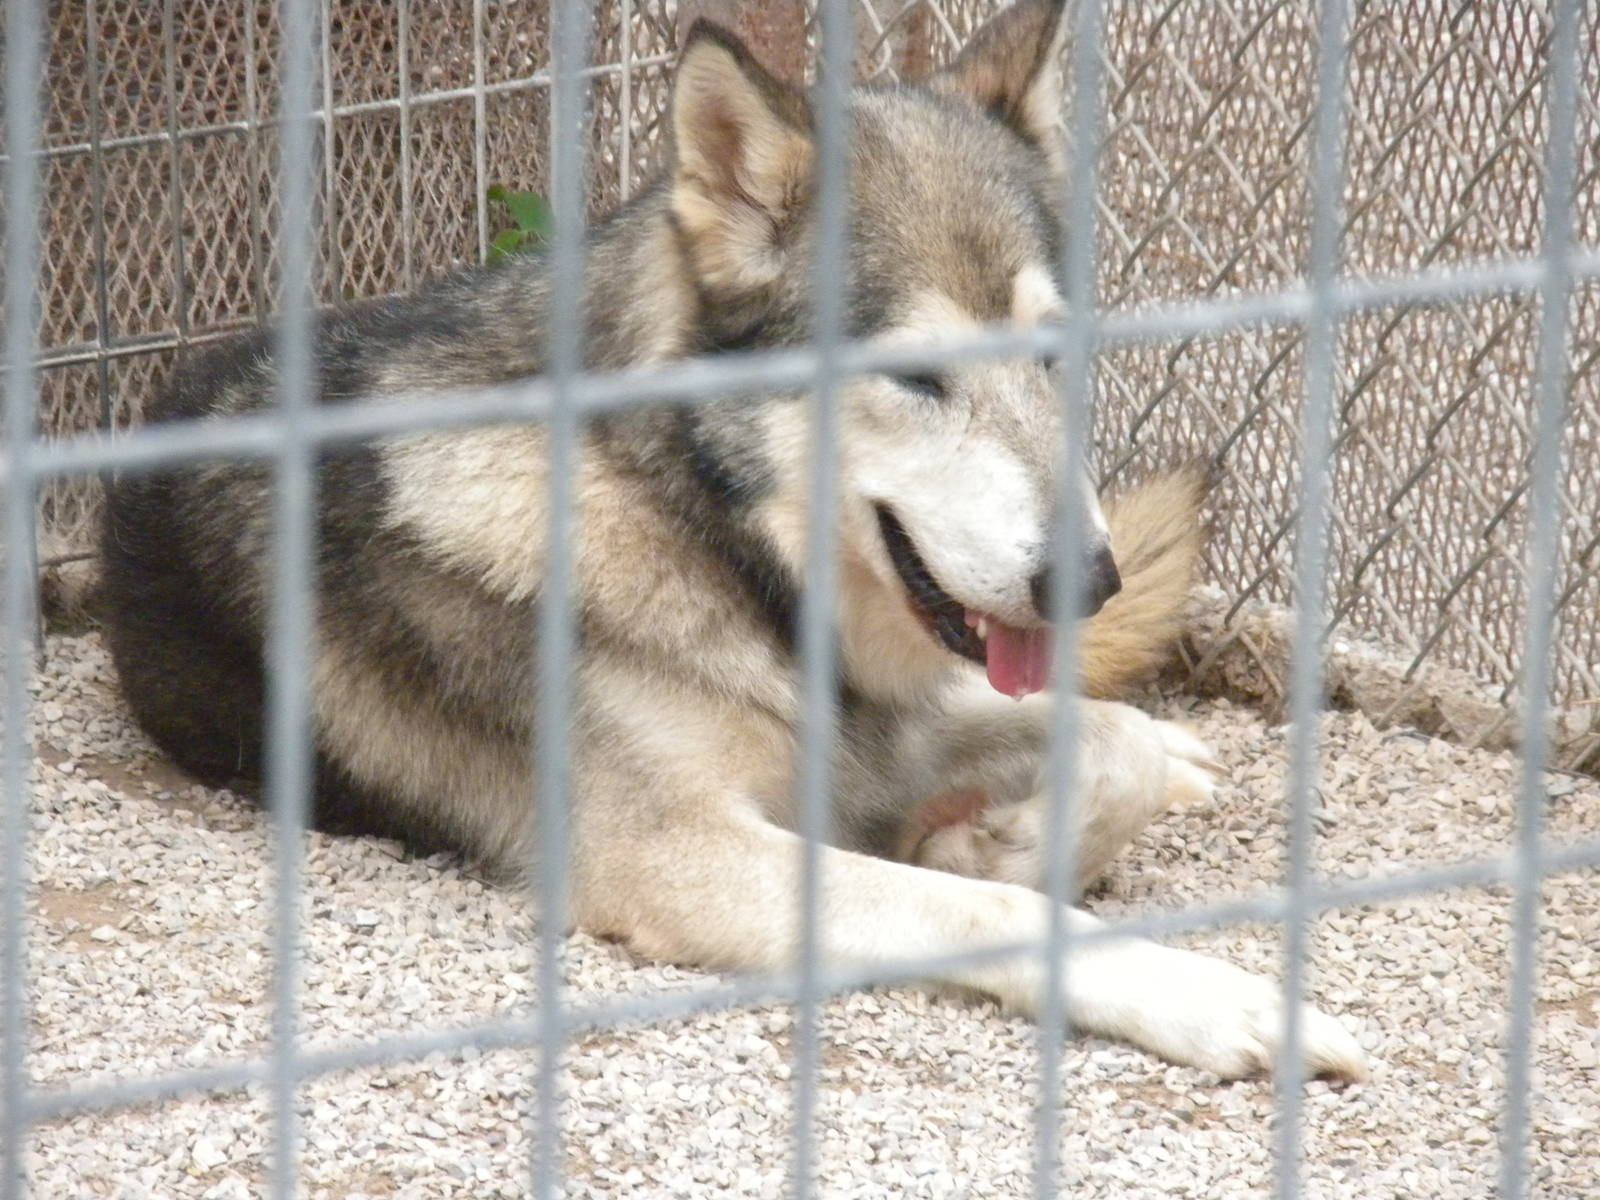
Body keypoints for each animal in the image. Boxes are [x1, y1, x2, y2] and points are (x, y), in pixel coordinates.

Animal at [100, 0, 1366, 1081]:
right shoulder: (678, 857)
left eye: (1051, 357)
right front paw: (1200, 990)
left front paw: (1014, 831)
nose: (1087, 584)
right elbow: (996, 904)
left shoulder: (877, 736)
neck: (699, 538)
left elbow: (1110, 742)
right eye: (916, 377)